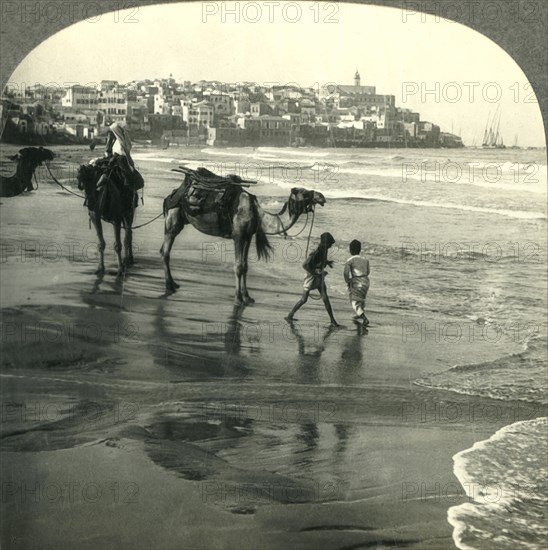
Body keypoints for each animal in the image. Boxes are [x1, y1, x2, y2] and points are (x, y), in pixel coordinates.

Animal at [163, 169, 326, 306]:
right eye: (304, 193)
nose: (321, 197)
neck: (257, 214)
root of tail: (174, 192)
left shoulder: (248, 236)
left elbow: (245, 267)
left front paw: (247, 297)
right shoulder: (238, 236)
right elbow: (238, 267)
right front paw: (237, 299)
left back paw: (173, 285)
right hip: (173, 216)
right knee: (166, 251)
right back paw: (170, 286)